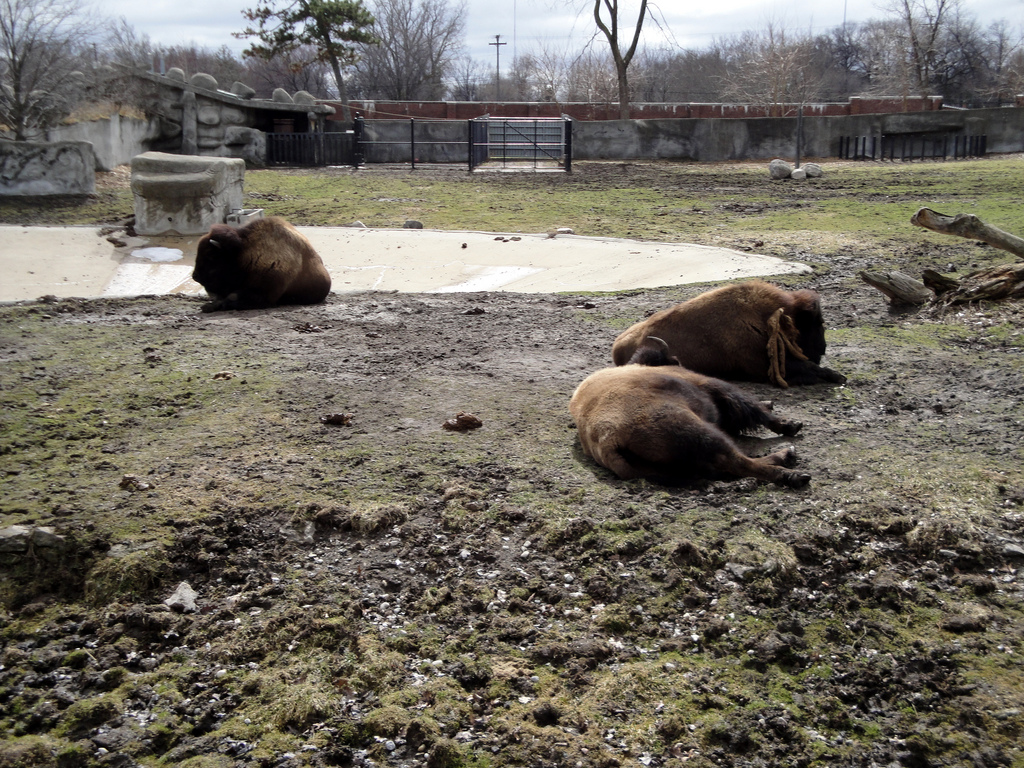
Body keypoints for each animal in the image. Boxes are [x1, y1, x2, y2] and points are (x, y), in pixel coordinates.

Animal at [192, 216, 331, 312]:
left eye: (210, 254)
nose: (195, 276)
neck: (243, 252)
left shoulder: (264, 293)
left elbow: (233, 297)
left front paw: (208, 306)